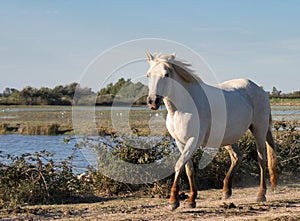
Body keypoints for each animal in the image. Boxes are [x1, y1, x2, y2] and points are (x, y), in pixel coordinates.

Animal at [145, 52, 276, 210]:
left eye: (166, 74)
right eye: (148, 75)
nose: (152, 101)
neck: (181, 109)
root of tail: (260, 89)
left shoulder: (193, 141)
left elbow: (179, 165)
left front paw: (173, 201)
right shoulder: (180, 142)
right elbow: (188, 168)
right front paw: (191, 199)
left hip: (259, 131)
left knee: (261, 160)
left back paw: (261, 194)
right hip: (228, 137)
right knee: (237, 157)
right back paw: (226, 191)